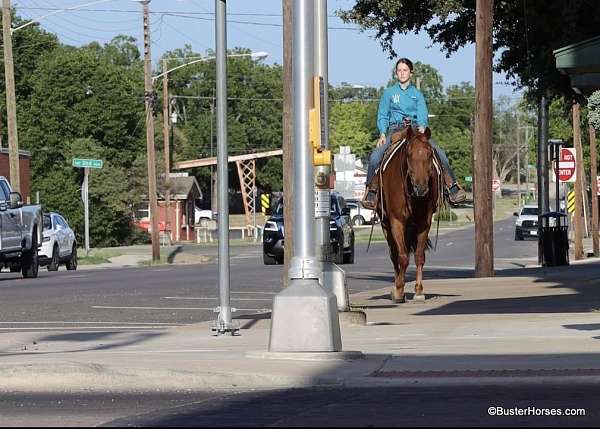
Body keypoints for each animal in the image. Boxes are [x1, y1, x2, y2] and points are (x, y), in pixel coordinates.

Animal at [378, 125, 442, 302]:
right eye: (408, 154)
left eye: (430, 154)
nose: (421, 188)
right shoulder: (396, 221)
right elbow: (402, 256)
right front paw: (399, 289)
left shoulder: (424, 222)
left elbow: (419, 255)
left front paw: (419, 290)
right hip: (385, 224)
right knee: (394, 254)